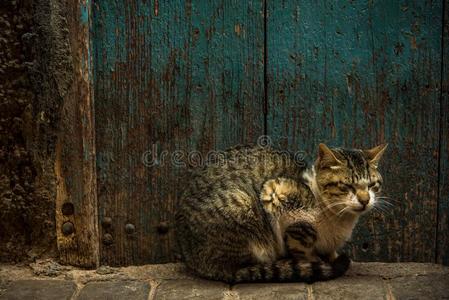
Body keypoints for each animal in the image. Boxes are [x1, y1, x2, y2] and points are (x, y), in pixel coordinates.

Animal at [175, 143, 384, 284]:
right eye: (347, 186)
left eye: (372, 185)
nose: (365, 200)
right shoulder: (275, 193)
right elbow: (302, 247)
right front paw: (315, 262)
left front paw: (330, 258)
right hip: (242, 204)